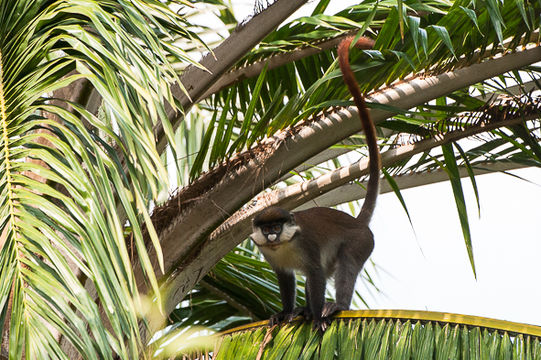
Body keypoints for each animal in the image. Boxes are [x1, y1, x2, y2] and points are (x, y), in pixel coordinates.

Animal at [249, 36, 380, 332]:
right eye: (267, 229)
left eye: (276, 226)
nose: (272, 235)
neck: (283, 246)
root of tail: (358, 222)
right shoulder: (270, 256)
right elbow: (286, 280)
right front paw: (285, 313)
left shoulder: (306, 245)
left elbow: (315, 274)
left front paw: (318, 315)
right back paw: (304, 311)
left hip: (362, 242)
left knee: (346, 264)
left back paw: (334, 307)